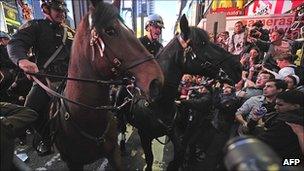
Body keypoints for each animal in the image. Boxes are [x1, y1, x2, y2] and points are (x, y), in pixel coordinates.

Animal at [124, 15, 241, 171]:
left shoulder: (174, 131)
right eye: (202, 43)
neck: (157, 102)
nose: (239, 67)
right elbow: (149, 159)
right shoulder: (145, 135)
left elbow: (179, 152)